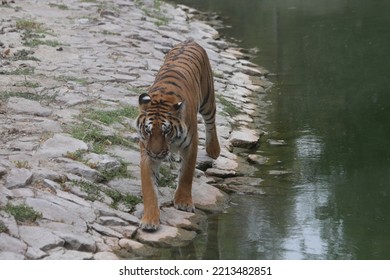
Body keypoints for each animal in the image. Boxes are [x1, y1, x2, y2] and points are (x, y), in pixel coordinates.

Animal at [136, 40, 221, 232]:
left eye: (166, 131)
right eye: (148, 131)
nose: (156, 153)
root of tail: (189, 40)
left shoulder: (190, 145)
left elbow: (186, 174)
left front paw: (183, 202)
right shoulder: (146, 151)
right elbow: (149, 187)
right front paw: (150, 220)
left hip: (208, 98)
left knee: (211, 121)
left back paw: (214, 150)